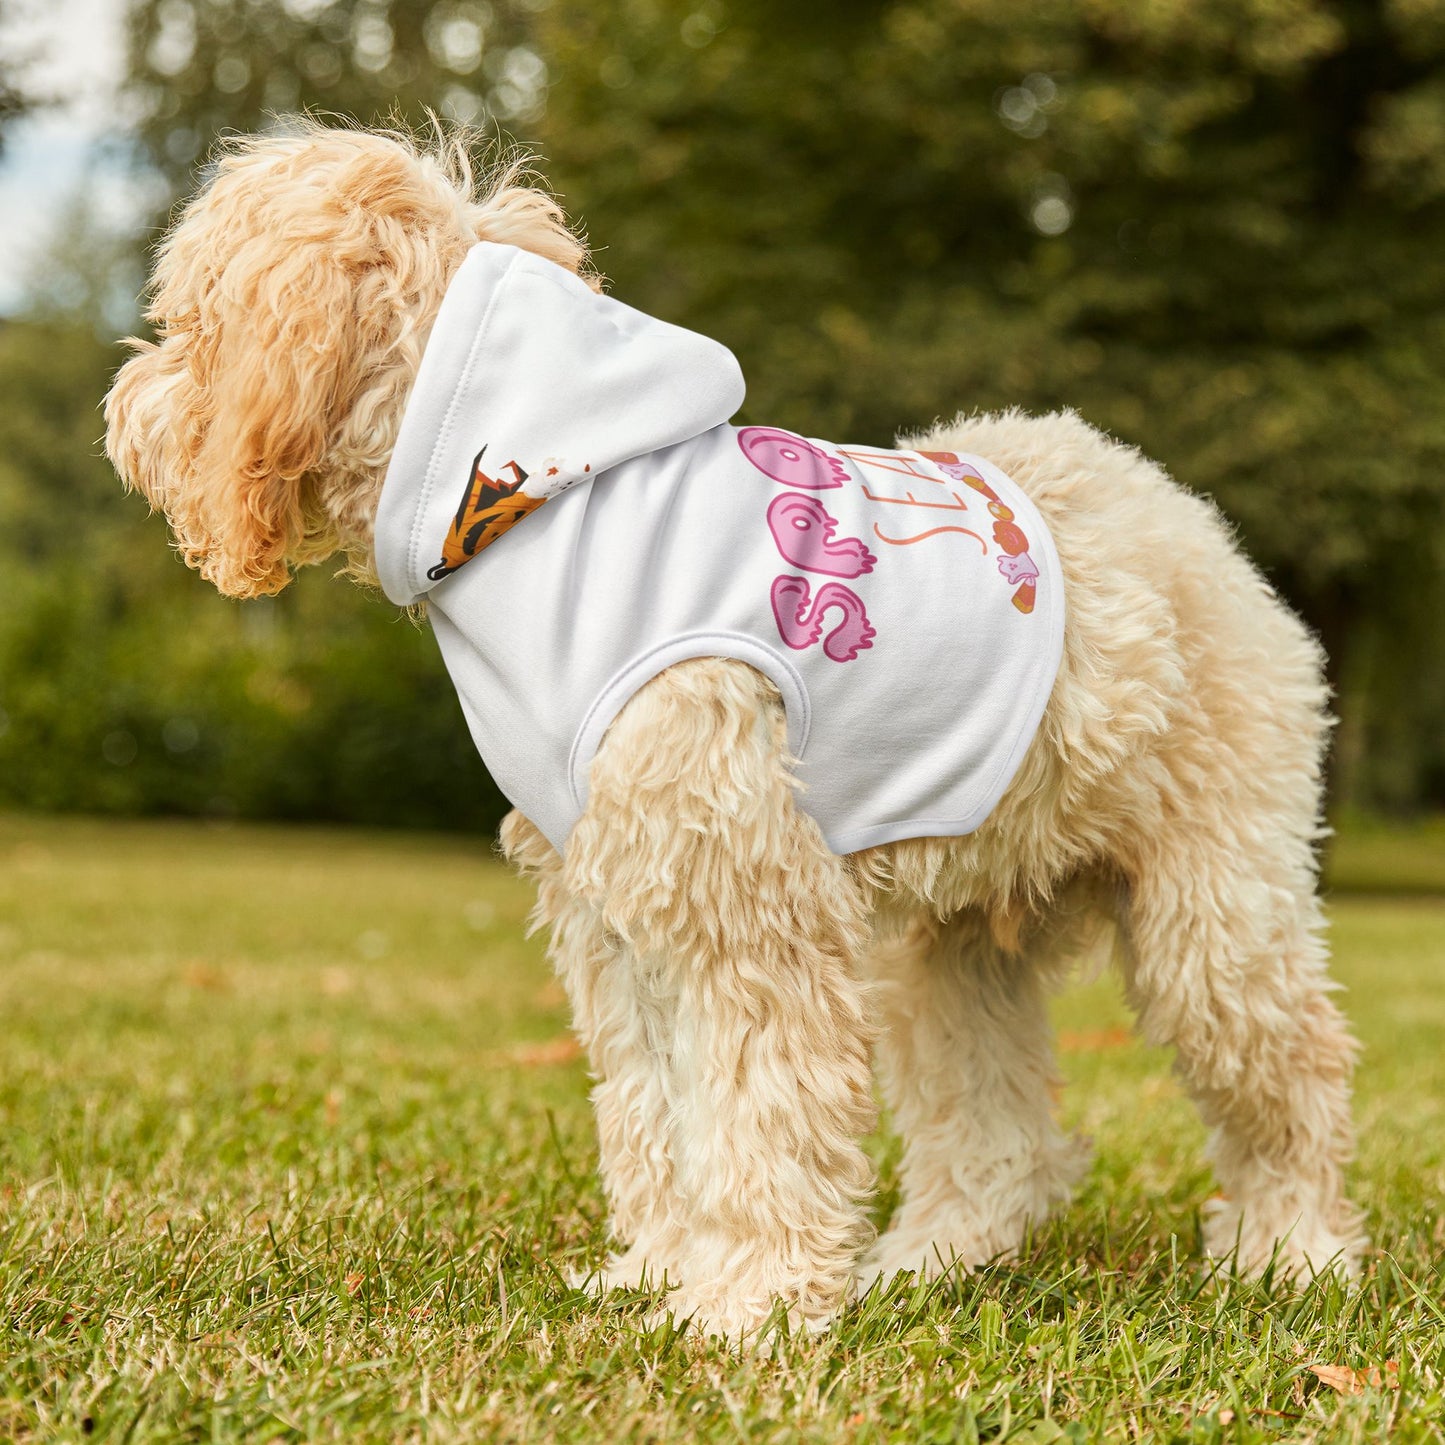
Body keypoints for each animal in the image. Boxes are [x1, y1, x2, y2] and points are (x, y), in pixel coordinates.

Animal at [104, 127, 1364, 1340]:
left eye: (191, 320)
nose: (124, 406)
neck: (537, 501)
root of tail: (1186, 518)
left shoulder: (743, 902)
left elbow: (760, 1108)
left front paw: (748, 1304)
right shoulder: (617, 908)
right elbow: (655, 1110)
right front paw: (662, 1271)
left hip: (1212, 910)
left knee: (1292, 1072)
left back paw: (1290, 1251)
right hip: (950, 945)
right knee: (995, 1131)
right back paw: (929, 1260)